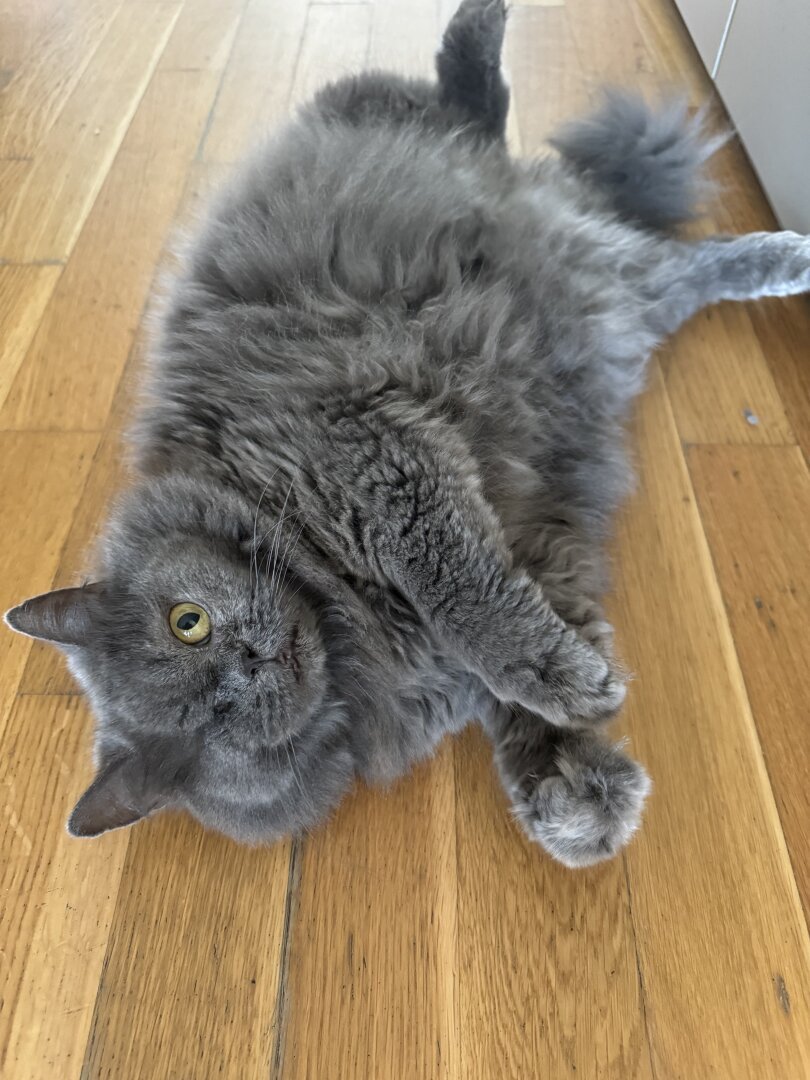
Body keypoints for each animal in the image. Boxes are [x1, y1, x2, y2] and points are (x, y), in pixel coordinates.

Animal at [6, 0, 810, 864]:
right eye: (216, 725)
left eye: (187, 624)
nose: (251, 661)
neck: (343, 603)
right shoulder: (524, 536)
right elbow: (519, 665)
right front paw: (575, 788)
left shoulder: (372, 458)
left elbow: (471, 603)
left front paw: (569, 690)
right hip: (623, 303)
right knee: (681, 265)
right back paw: (788, 257)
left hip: (374, 109)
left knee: (471, 103)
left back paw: (484, 23)